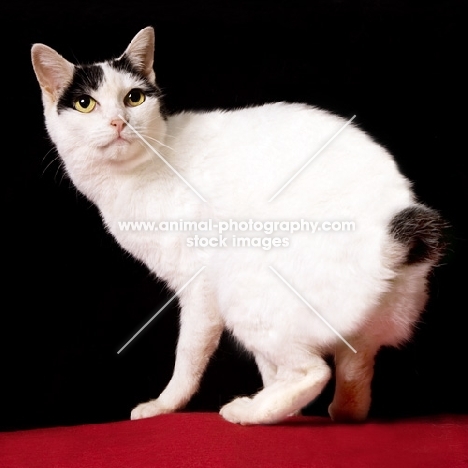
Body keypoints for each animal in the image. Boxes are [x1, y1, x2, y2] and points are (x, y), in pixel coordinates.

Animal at [31, 27, 444, 426]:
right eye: (86, 103)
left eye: (134, 98)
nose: (119, 121)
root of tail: (389, 239)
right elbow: (267, 368)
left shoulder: (199, 286)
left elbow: (188, 356)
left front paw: (164, 406)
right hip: (357, 332)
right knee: (352, 381)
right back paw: (323, 409)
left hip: (241, 288)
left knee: (312, 372)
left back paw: (246, 413)